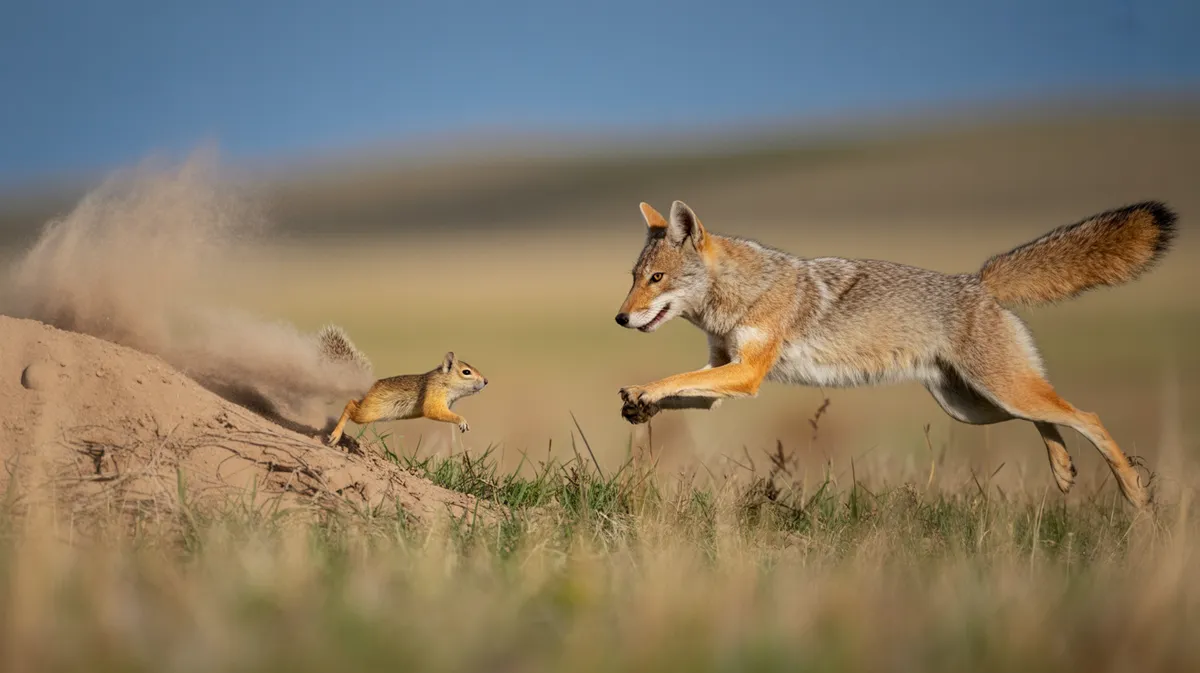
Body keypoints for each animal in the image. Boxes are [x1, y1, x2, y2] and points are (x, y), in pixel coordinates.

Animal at [316, 325, 488, 447]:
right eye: (466, 372)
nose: (486, 381)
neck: (444, 381)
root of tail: (366, 387)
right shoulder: (434, 393)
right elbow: (433, 410)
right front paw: (461, 421)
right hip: (367, 413)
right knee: (350, 405)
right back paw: (335, 434)